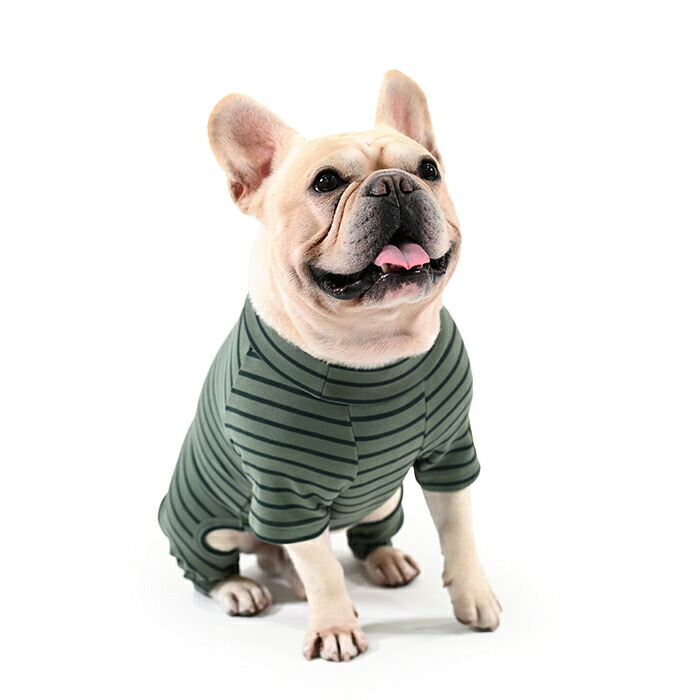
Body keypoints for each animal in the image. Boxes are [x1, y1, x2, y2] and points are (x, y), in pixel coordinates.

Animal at [159, 70, 501, 662]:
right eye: (325, 183)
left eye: (428, 170)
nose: (394, 184)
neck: (374, 346)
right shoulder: (285, 494)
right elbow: (321, 571)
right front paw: (335, 626)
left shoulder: (449, 455)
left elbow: (459, 533)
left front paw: (473, 596)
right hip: (207, 523)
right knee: (225, 561)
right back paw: (242, 587)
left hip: (383, 499)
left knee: (359, 535)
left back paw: (383, 559)